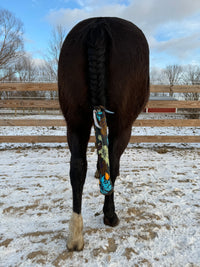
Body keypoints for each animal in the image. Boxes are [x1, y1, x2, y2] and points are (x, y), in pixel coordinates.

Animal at [57, 16, 148, 251]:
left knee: (77, 167)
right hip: (122, 126)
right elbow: (110, 162)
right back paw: (110, 215)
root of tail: (99, 23)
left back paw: (75, 235)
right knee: (113, 163)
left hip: (76, 122)